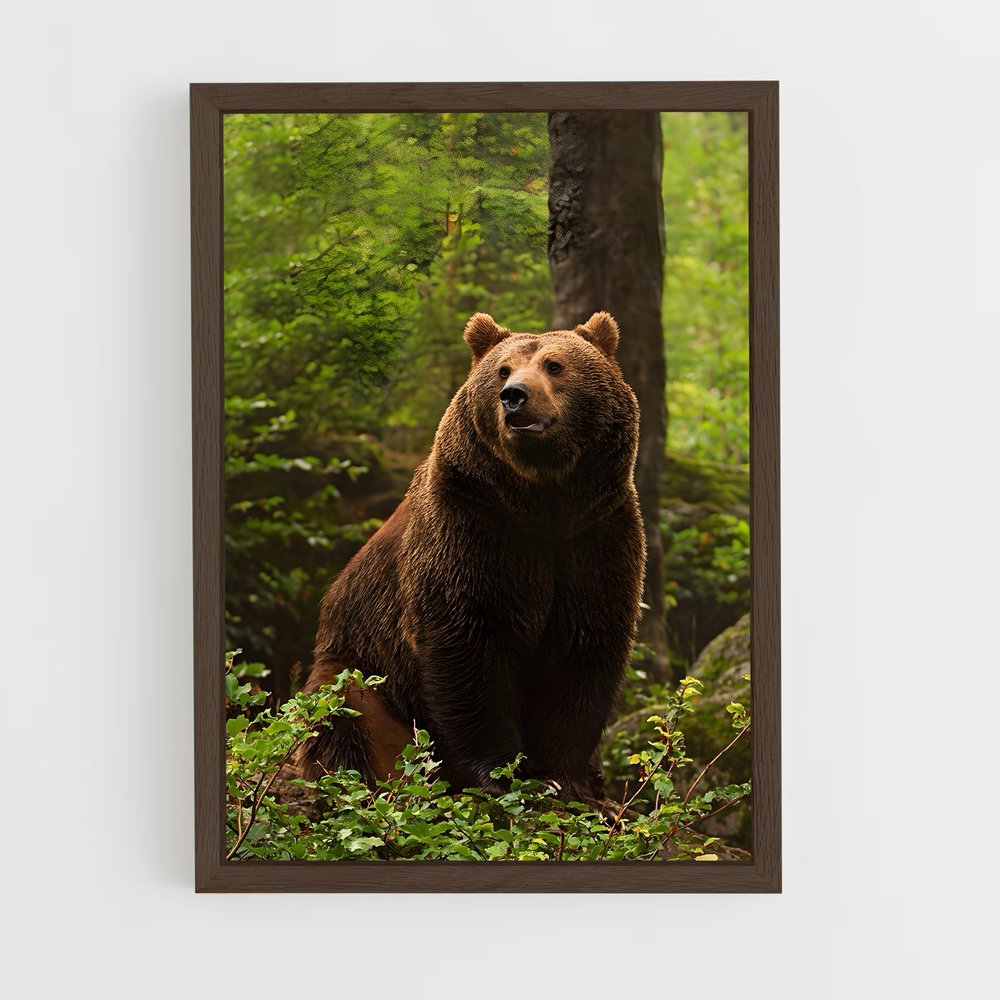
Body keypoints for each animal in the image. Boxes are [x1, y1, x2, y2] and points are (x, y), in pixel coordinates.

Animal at [296, 310, 645, 805]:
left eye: (554, 365)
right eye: (502, 369)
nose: (514, 396)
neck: (544, 498)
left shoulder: (596, 534)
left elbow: (583, 646)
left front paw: (568, 779)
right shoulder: (471, 525)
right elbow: (468, 640)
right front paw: (499, 773)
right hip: (364, 665)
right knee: (347, 711)